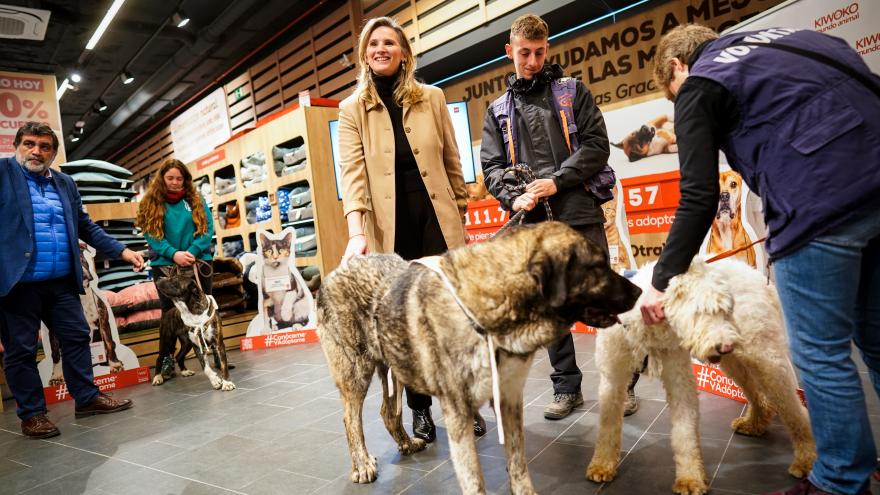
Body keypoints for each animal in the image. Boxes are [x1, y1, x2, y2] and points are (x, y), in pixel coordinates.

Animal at [316, 223, 640, 494]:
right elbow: (473, 478)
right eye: (597, 267)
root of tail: (334, 272)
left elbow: (518, 464)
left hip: (397, 365)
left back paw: (406, 443)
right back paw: (362, 464)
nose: (638, 291)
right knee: (350, 419)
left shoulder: (508, 399)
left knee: (387, 412)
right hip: (356, 371)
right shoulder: (458, 410)